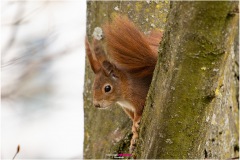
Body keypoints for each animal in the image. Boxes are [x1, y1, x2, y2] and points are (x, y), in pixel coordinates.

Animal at [85, 15, 162, 152]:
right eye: (93, 86)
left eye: (107, 88)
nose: (96, 104)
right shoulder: (128, 108)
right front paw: (133, 132)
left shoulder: (140, 97)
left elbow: (138, 113)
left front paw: (136, 125)